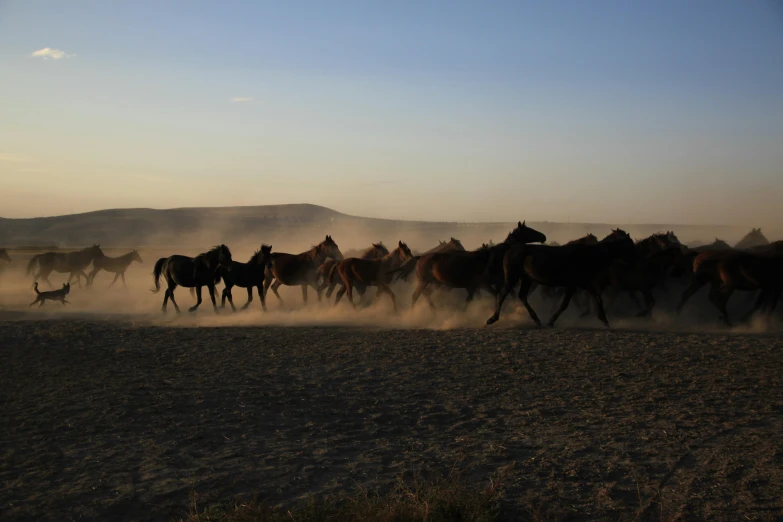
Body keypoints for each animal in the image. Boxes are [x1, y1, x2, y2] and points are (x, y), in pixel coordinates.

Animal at [396, 220, 548, 308]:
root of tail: (420, 257)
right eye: (529, 230)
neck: (492, 258)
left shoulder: (482, 285)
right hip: (424, 281)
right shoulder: (481, 285)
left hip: (435, 283)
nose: (543, 236)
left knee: (426, 294)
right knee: (415, 296)